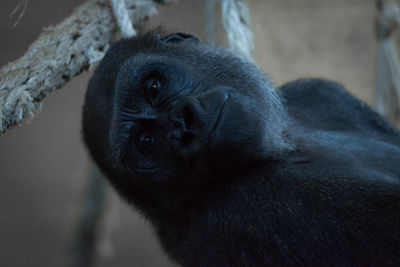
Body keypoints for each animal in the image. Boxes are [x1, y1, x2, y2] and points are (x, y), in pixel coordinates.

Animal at [82, 32, 400, 266]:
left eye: (154, 86)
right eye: (146, 143)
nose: (185, 122)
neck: (287, 143)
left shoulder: (321, 94)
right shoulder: (251, 204)